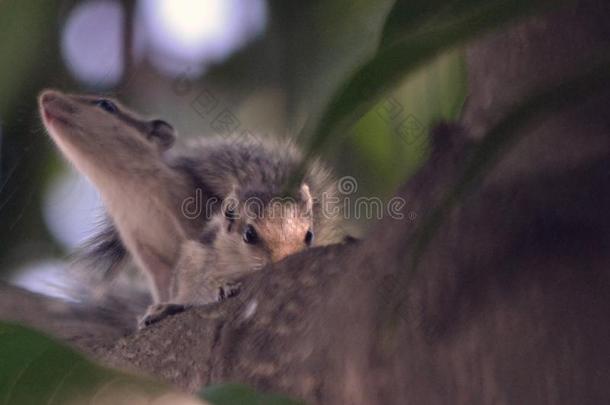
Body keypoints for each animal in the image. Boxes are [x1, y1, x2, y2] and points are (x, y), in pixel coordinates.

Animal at [38, 90, 346, 326]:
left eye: (107, 106)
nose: (47, 97)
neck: (126, 188)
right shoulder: (143, 248)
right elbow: (165, 285)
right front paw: (159, 308)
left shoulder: (192, 211)